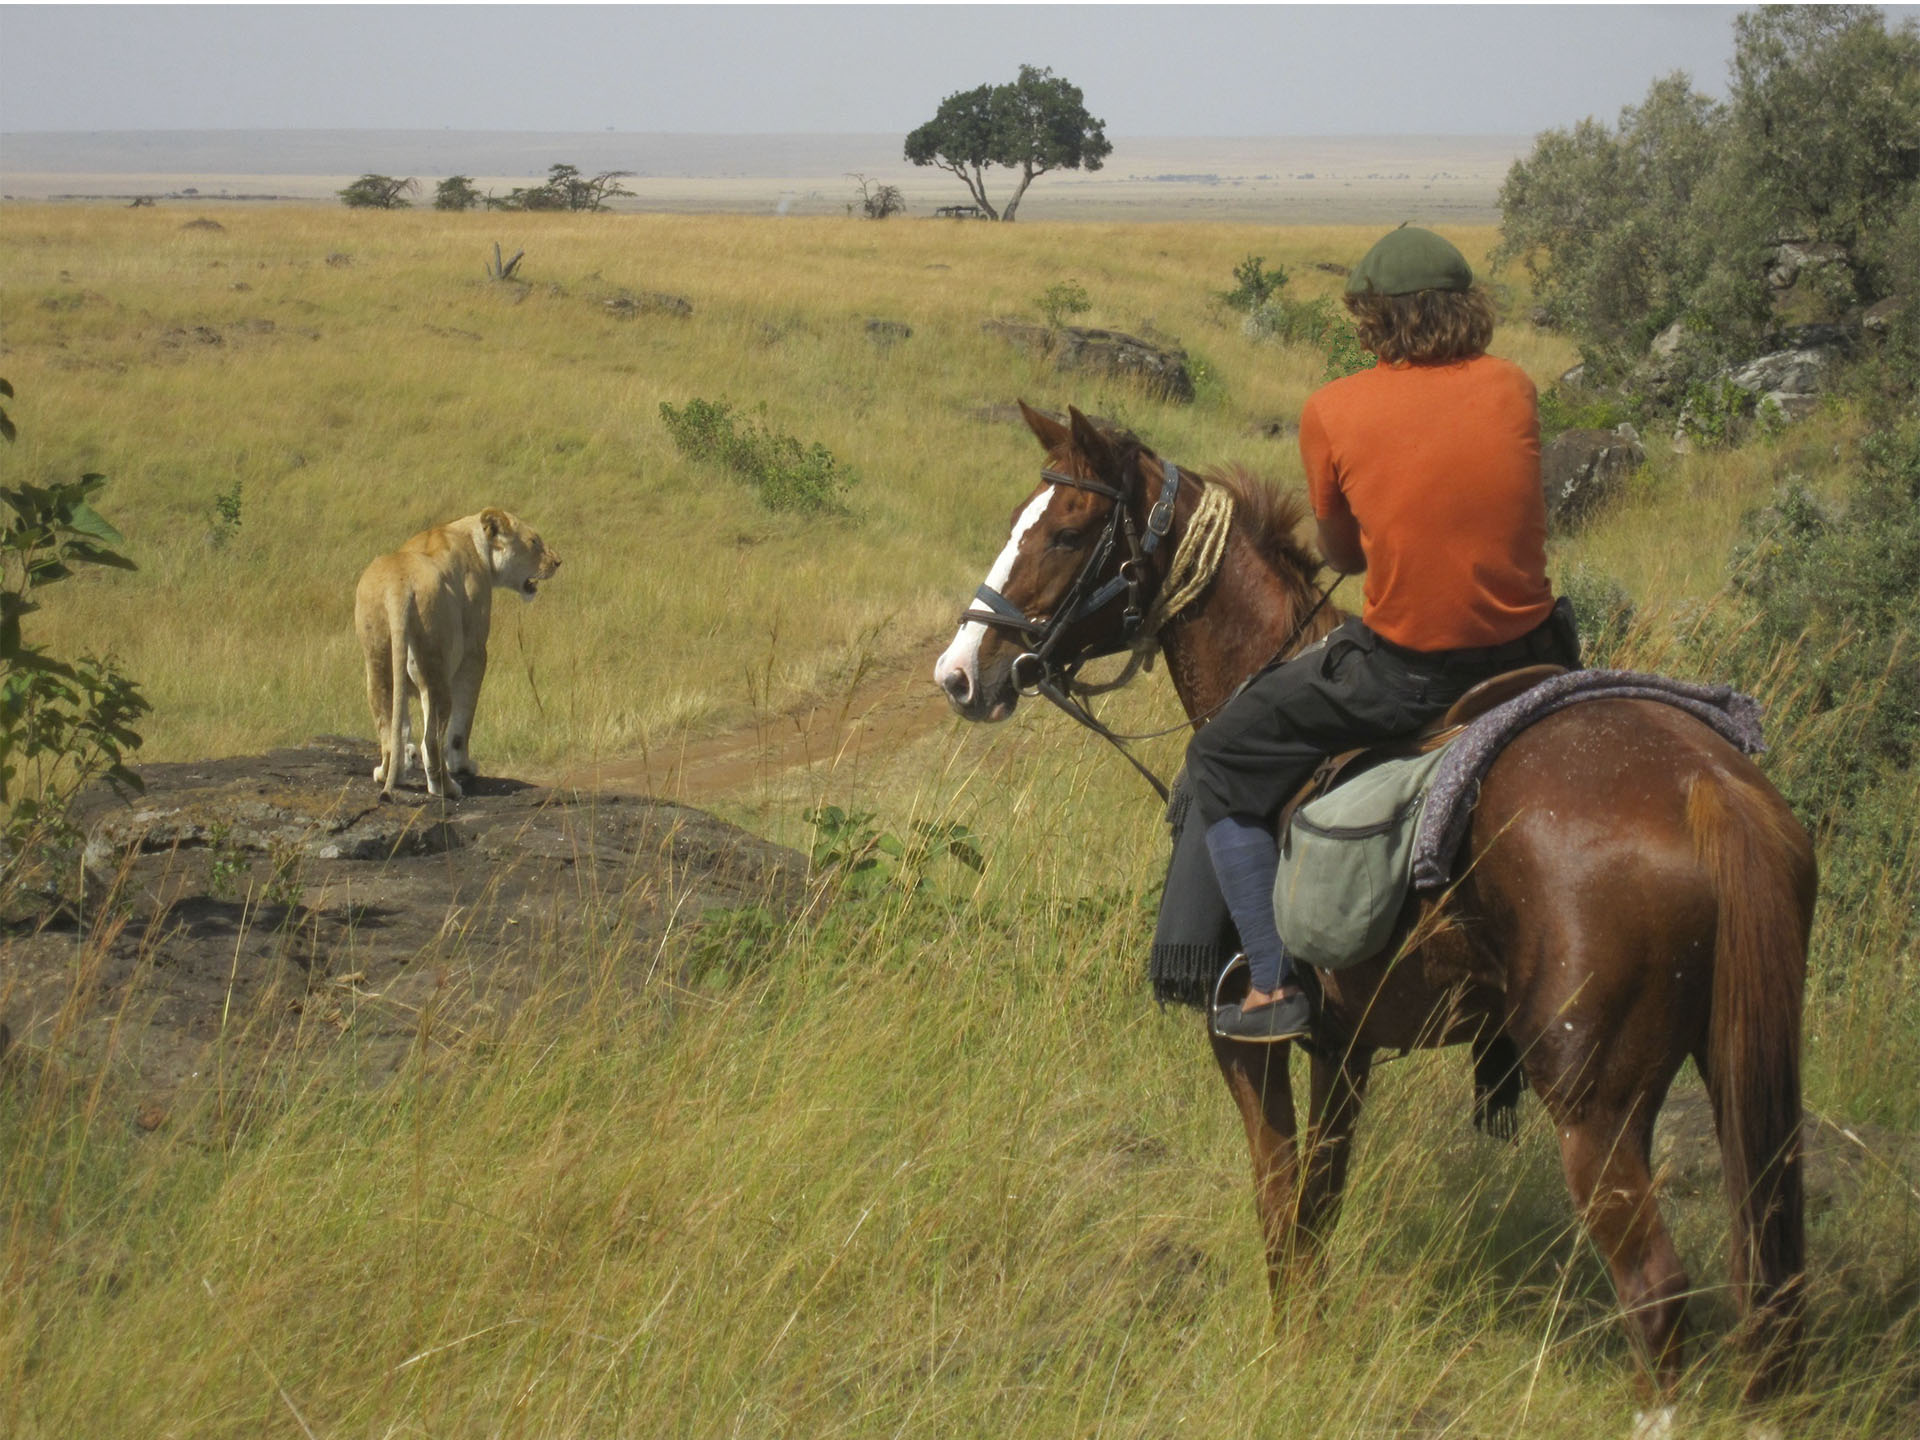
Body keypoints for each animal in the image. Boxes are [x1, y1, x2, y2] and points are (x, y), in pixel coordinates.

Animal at [933, 407, 1812, 1413]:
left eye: (1068, 532)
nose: (959, 673)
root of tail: (1709, 789)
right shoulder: (1345, 1046)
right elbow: (1319, 1199)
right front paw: (1309, 1342)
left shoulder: (1248, 1042)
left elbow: (1277, 1198)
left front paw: (1284, 1354)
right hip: (1738, 1067)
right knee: (1767, 1273)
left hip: (1593, 1102)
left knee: (1655, 1290)